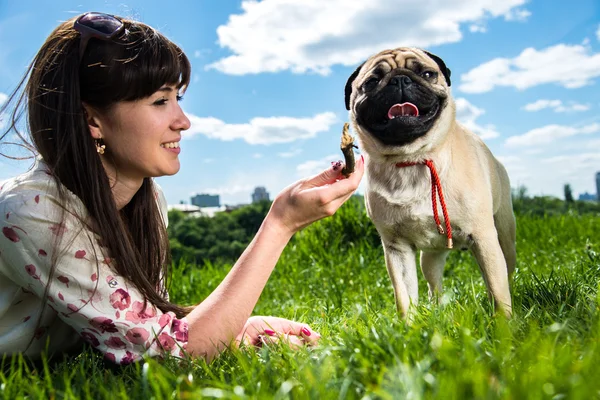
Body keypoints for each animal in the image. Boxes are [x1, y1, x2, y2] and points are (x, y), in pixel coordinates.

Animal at [344, 47, 516, 318]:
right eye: (371, 82)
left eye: (427, 74)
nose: (399, 79)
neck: (412, 159)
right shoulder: (397, 248)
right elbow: (404, 296)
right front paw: (409, 326)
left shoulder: (484, 238)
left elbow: (499, 291)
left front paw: (504, 324)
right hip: (430, 257)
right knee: (433, 285)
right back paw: (438, 311)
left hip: (504, 237)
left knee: (504, 273)